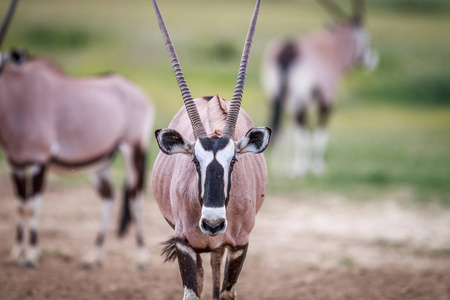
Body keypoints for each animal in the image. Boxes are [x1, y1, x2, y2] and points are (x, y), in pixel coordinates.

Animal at [0, 0, 154, 268]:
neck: (18, 96)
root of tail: (138, 92)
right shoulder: (15, 162)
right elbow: (20, 205)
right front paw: (17, 252)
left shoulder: (39, 161)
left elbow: (34, 205)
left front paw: (31, 256)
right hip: (102, 162)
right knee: (108, 197)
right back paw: (94, 255)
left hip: (133, 150)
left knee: (135, 197)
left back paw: (141, 257)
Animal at [151, 0, 270, 300]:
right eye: (195, 161)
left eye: (234, 161)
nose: (213, 224)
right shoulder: (183, 243)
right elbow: (192, 291)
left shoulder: (239, 246)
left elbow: (226, 292)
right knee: (206, 274)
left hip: (220, 246)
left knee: (215, 268)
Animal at [262, 0, 378, 177]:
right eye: (366, 39)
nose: (371, 61)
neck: (333, 48)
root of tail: (290, 48)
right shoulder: (327, 101)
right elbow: (319, 133)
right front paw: (317, 168)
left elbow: (291, 130)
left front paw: (283, 168)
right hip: (300, 99)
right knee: (301, 129)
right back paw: (299, 168)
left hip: (275, 96)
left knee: (280, 125)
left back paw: (279, 166)